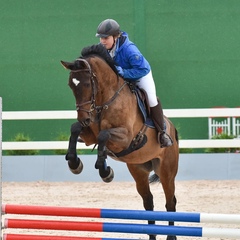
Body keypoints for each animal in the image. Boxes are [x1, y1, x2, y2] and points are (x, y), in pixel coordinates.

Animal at [61, 43, 179, 240]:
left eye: (87, 84)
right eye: (70, 84)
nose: (84, 118)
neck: (105, 99)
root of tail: (172, 128)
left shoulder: (126, 138)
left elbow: (103, 136)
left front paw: (104, 170)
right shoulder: (89, 136)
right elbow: (75, 129)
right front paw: (74, 163)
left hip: (166, 172)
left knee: (170, 202)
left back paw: (171, 235)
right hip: (138, 170)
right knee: (148, 202)